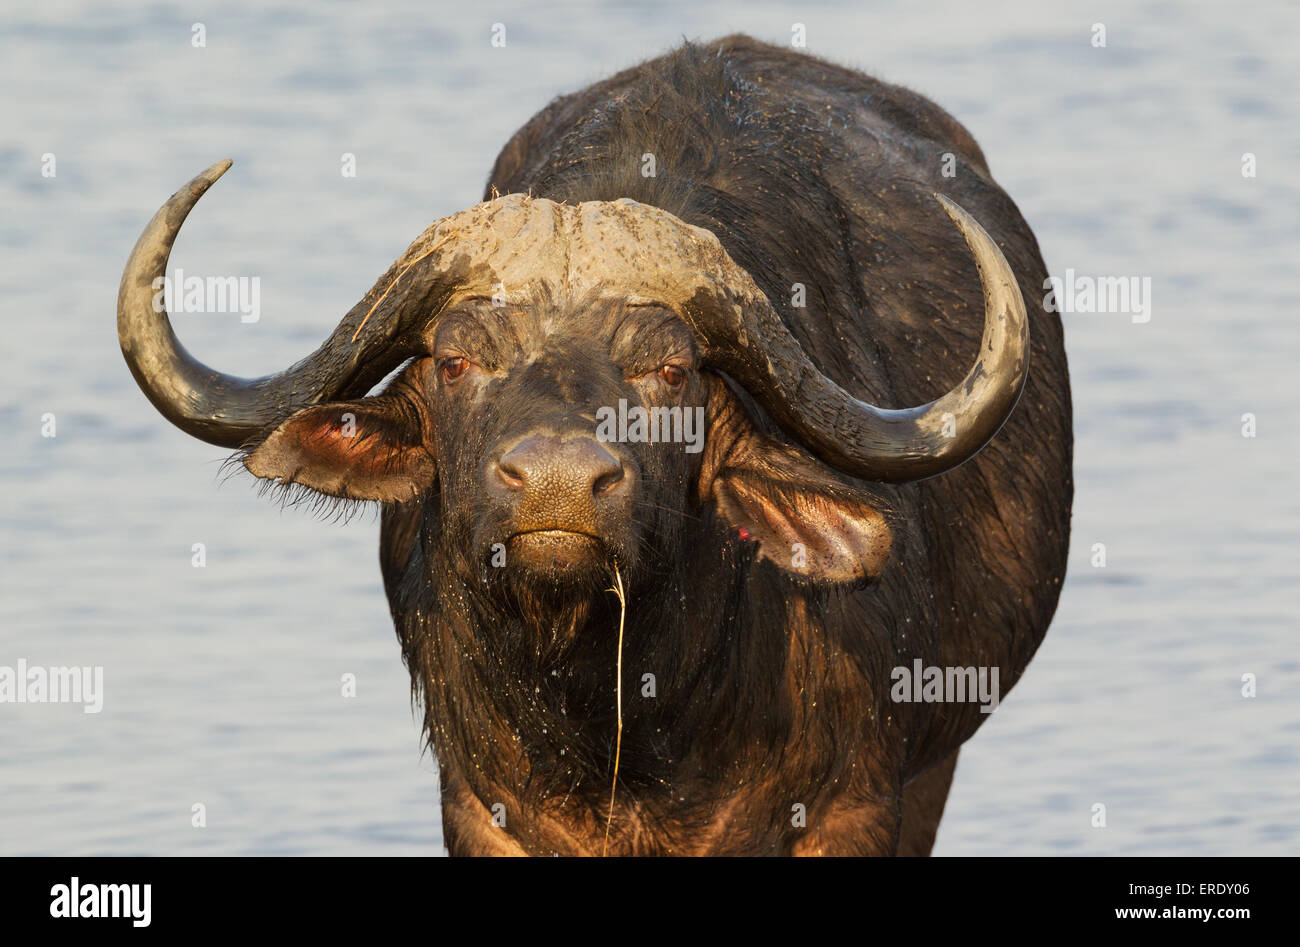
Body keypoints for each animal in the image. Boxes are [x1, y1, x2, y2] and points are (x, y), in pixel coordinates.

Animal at [117, 35, 1072, 855]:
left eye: (670, 370)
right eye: (456, 360)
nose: (557, 483)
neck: (627, 723)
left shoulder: (859, 803)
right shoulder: (481, 809)